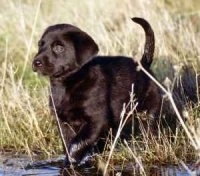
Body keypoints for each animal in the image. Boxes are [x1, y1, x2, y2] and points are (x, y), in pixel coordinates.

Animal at [32, 17, 162, 165]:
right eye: (40, 45)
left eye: (59, 47)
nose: (36, 62)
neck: (68, 84)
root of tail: (144, 65)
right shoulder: (63, 122)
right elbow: (68, 142)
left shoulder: (96, 120)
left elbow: (76, 144)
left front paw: (71, 161)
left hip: (149, 114)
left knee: (150, 131)